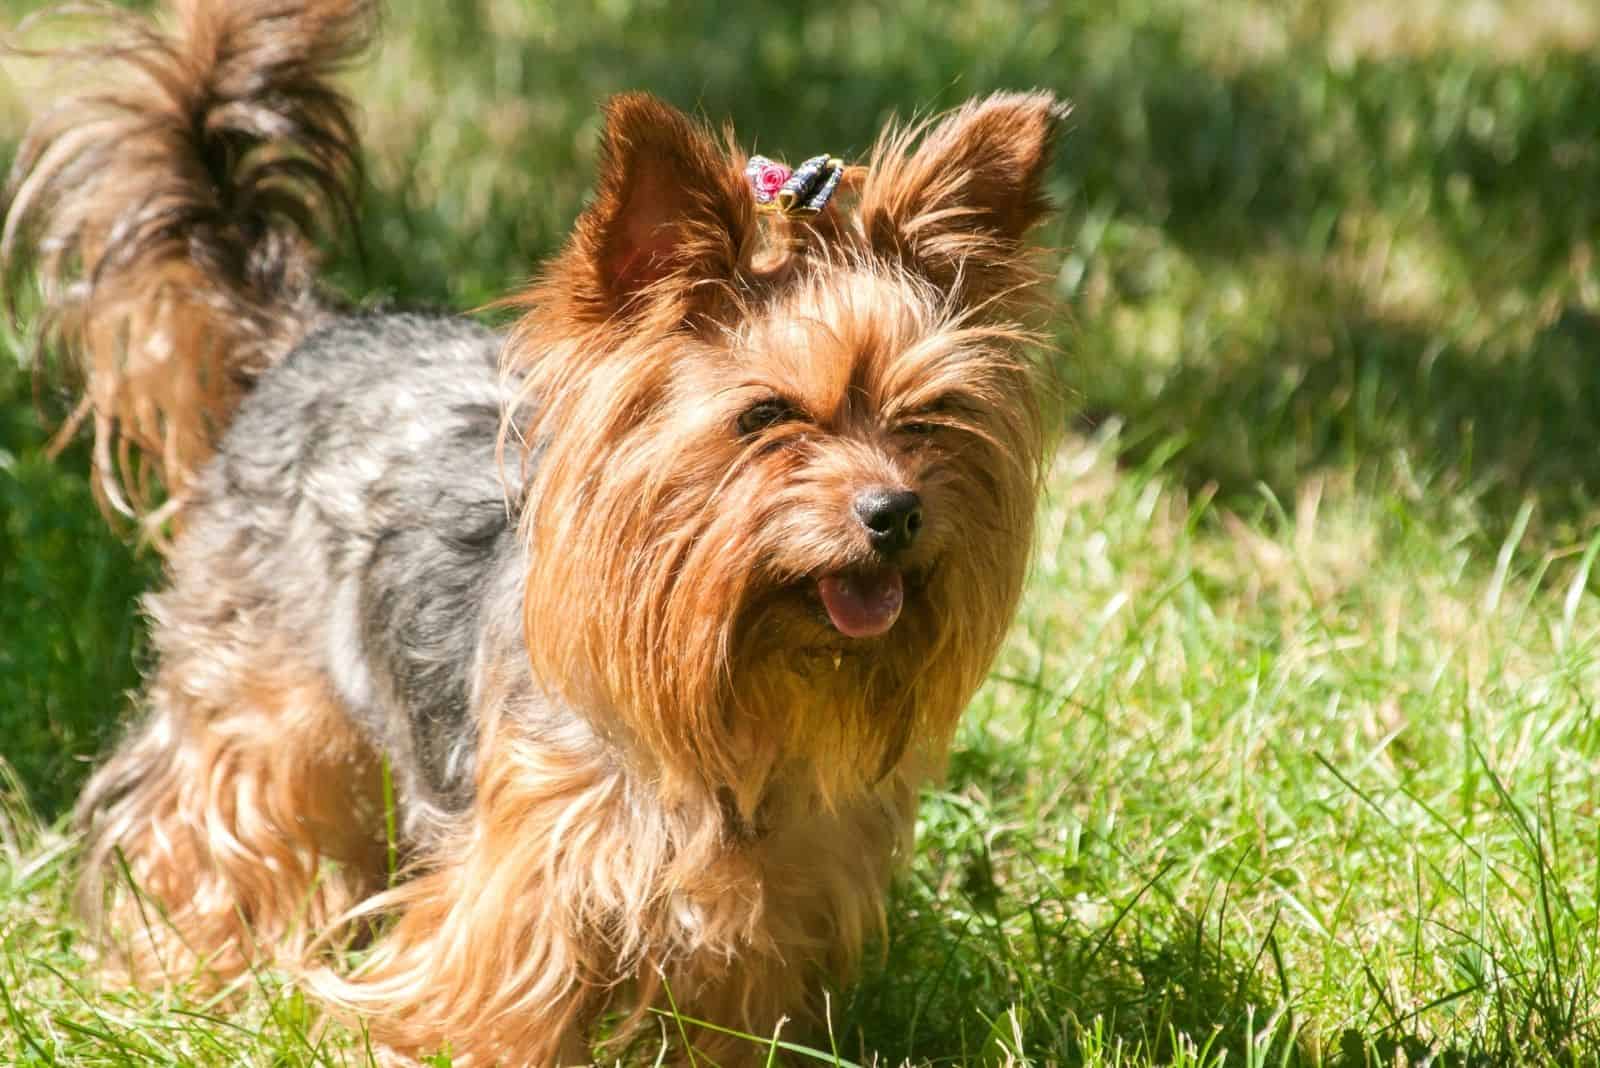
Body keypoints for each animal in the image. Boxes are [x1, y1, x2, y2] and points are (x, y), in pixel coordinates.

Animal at [3, 0, 1062, 1061]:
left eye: (927, 418)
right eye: (765, 417)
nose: (894, 511)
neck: (739, 693)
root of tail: (313, 335)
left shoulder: (777, 900)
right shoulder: (530, 875)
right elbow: (490, 1001)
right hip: (257, 693)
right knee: (217, 816)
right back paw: (190, 971)